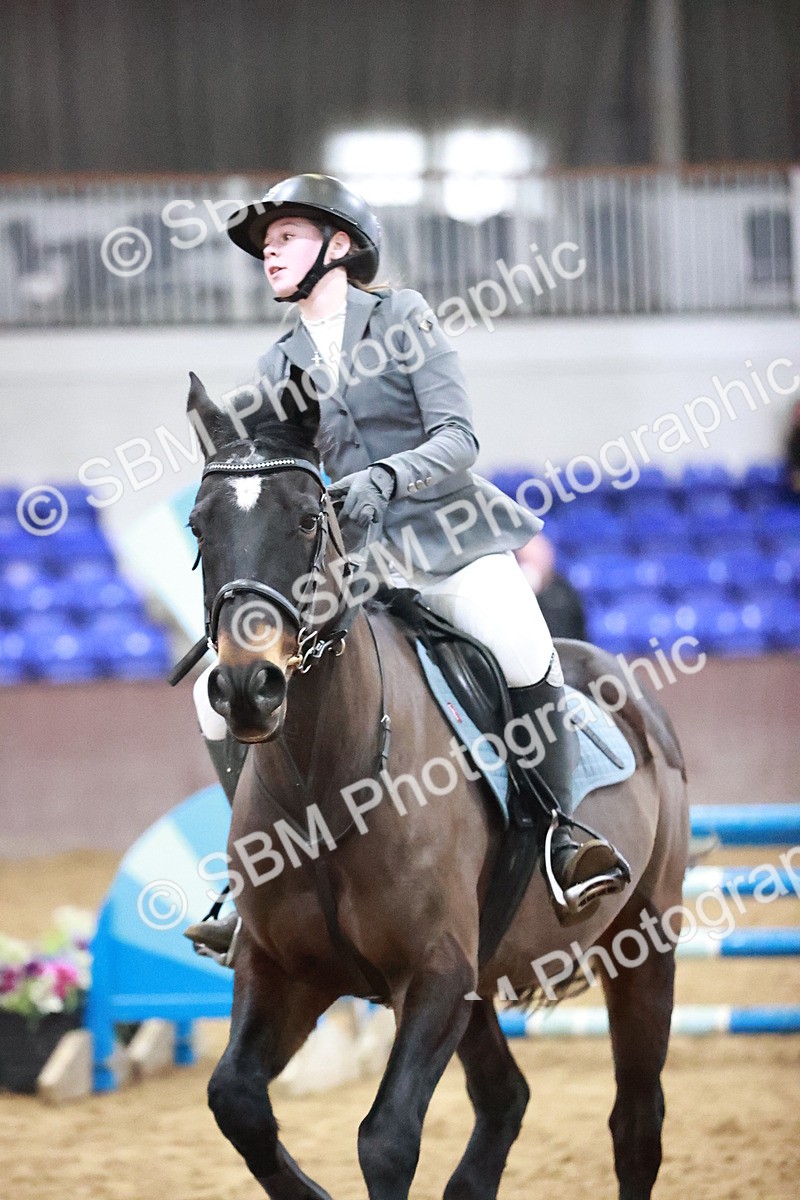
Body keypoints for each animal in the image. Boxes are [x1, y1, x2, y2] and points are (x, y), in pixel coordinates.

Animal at [181, 372, 690, 1200]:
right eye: (200, 526)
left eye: (308, 519)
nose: (247, 688)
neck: (325, 785)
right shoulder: (283, 969)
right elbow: (236, 1101)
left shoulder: (436, 974)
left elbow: (385, 1140)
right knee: (507, 1098)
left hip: (644, 945)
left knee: (637, 1122)